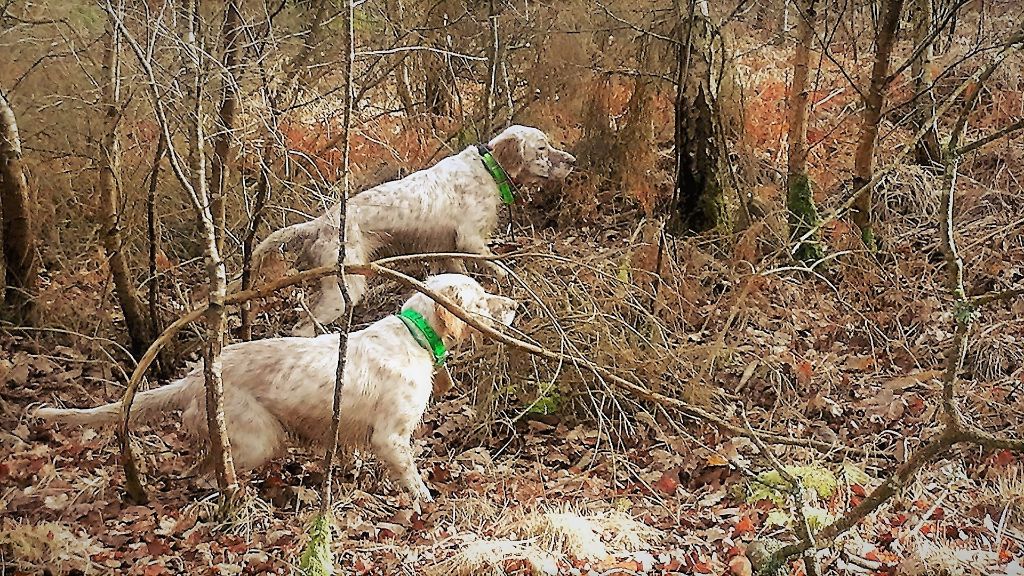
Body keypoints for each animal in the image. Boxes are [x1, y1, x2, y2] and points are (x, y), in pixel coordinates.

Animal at [37, 272, 520, 502]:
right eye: (481, 298)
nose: (514, 304)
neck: (414, 337)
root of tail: (195, 376)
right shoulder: (391, 436)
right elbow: (413, 479)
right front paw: (425, 502)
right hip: (257, 439)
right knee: (207, 473)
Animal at [244, 123, 573, 334]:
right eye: (542, 148)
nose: (572, 160)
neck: (487, 168)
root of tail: (320, 223)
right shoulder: (470, 240)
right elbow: (497, 265)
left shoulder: (448, 250)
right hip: (345, 287)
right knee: (302, 326)